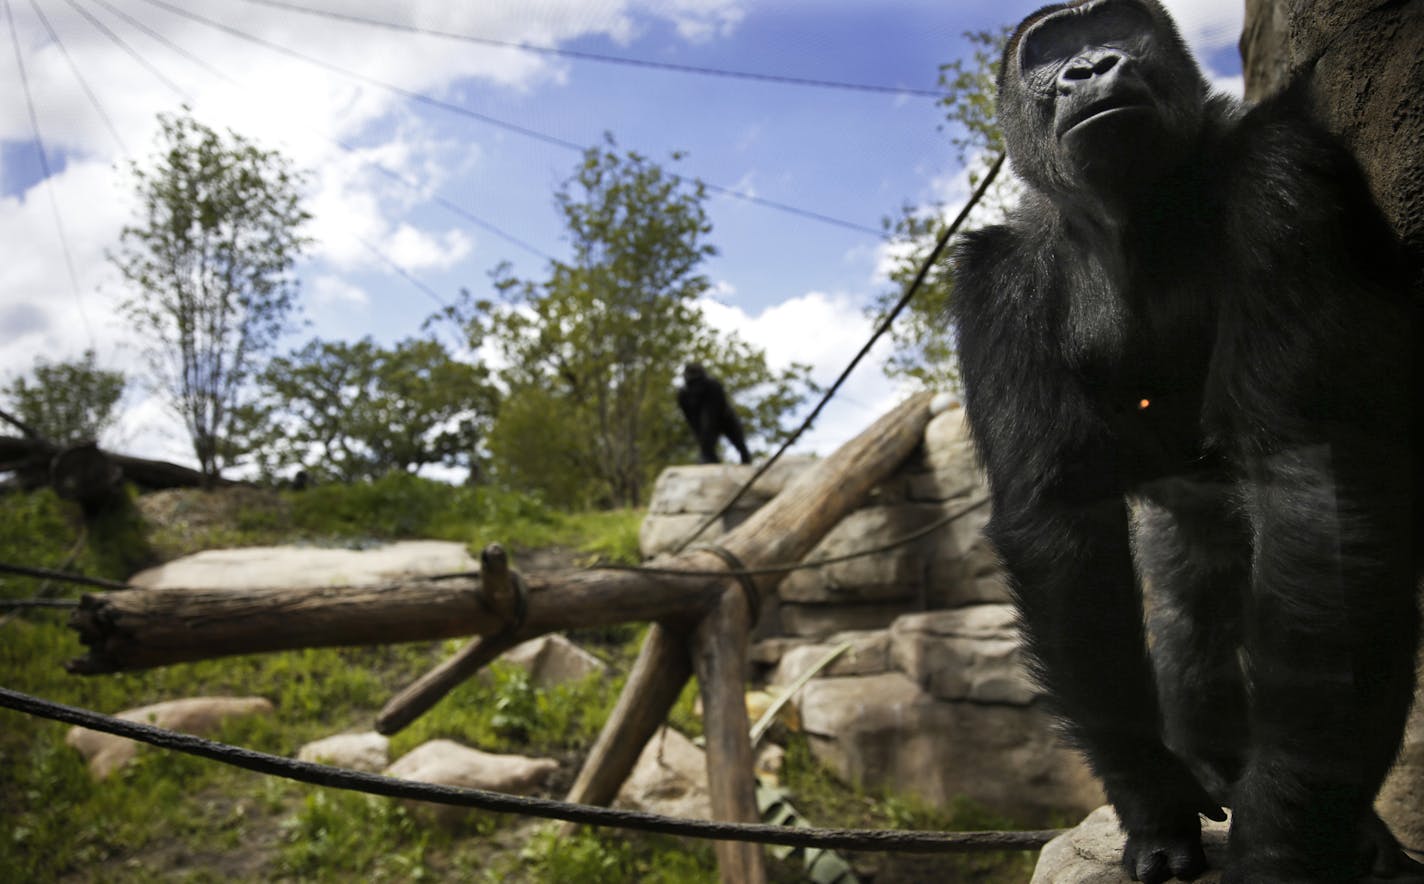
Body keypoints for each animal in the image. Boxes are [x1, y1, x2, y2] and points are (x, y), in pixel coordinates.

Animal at [951, 1, 1418, 882]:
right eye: (1051, 51)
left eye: (1112, 31)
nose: (1091, 66)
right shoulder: (995, 281)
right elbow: (1059, 526)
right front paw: (1150, 792)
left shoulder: (1280, 178)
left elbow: (1306, 481)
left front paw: (1283, 830)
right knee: (1191, 602)